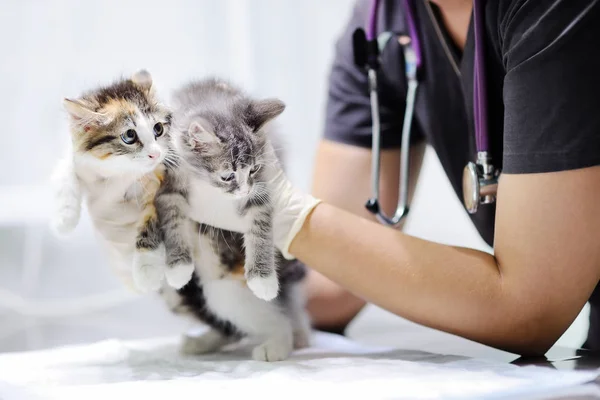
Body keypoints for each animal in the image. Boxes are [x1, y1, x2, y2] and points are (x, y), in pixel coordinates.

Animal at [52, 71, 192, 290]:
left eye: (158, 129)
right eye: (129, 135)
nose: (155, 154)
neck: (118, 171)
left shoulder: (157, 178)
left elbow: (150, 219)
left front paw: (147, 270)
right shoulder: (80, 157)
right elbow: (65, 170)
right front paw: (64, 217)